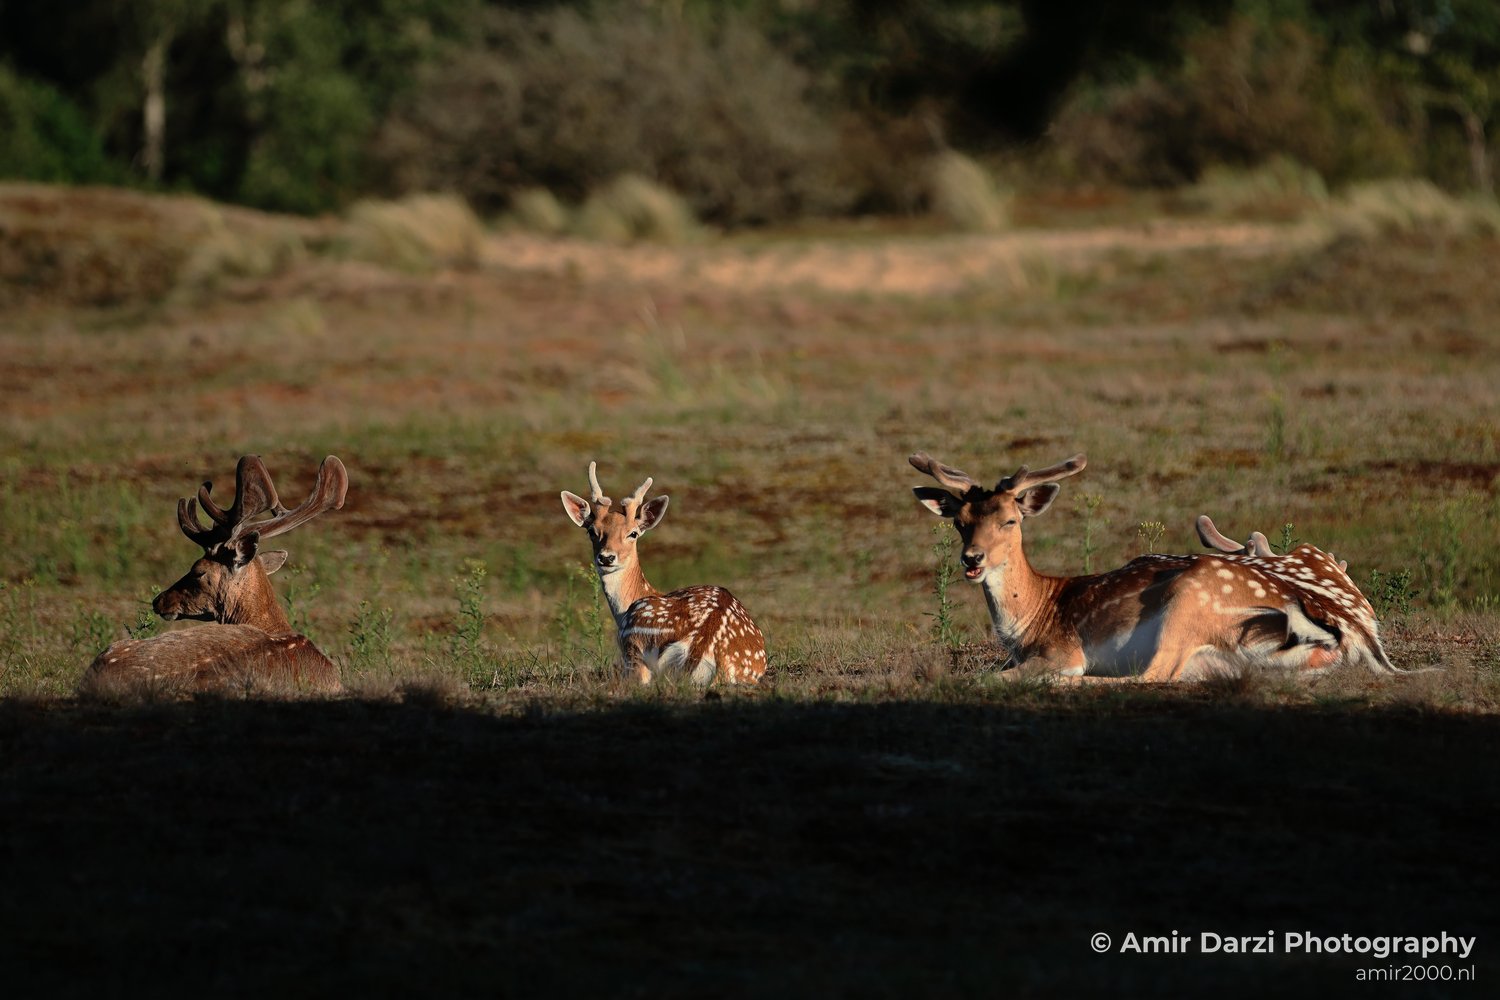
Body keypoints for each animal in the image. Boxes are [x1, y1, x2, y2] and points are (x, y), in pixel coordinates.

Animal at [909, 450, 1396, 680]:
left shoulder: (1061, 649)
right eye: (960, 522)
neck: (1029, 621)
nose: (972, 559)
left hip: (1189, 601)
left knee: (1151, 676)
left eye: (1010, 519)